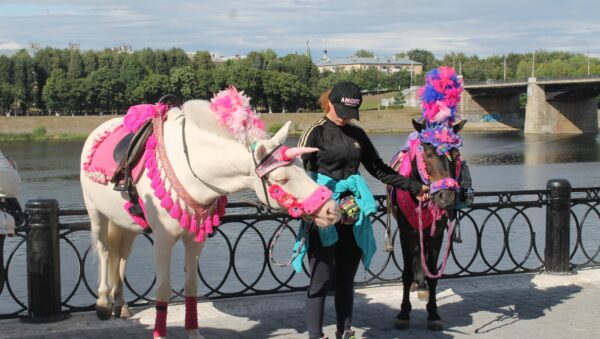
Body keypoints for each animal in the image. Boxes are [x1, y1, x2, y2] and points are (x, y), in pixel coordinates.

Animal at [81, 94, 340, 338]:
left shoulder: (196, 238)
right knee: (105, 249)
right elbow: (163, 289)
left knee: (122, 255)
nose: (331, 209)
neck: (191, 167)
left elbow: (192, 286)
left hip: (127, 223)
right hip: (96, 212)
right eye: (282, 179)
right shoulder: (163, 239)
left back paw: (120, 303)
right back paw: (103, 301)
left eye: (302, 166)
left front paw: (194, 332)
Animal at [390, 119, 468, 332]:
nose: (446, 197)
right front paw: (403, 313)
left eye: (455, 154)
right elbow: (407, 273)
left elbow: (433, 275)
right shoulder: (406, 233)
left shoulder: (437, 235)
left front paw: (433, 314)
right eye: (428, 154)